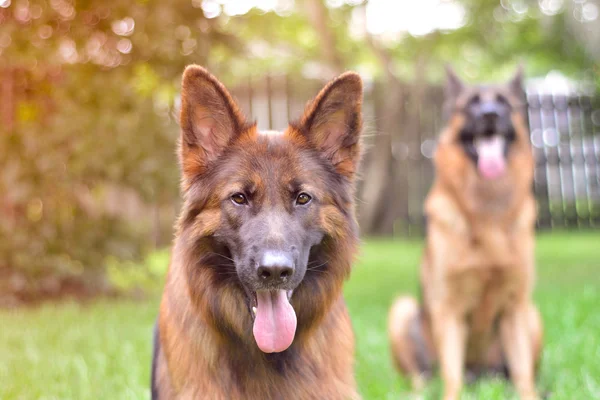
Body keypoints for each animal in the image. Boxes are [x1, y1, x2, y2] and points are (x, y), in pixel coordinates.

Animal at [390, 66, 544, 400]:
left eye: (504, 103)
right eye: (472, 103)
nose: (490, 114)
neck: (488, 215)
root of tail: (480, 376)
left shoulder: (515, 308)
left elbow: (524, 375)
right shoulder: (449, 310)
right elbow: (452, 376)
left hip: (532, 315)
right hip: (402, 310)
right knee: (422, 376)